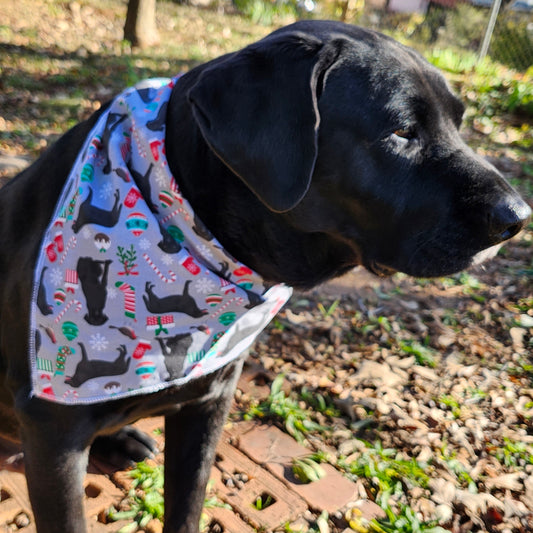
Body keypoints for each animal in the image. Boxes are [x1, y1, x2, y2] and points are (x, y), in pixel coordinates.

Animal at [0, 19, 528, 532]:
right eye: (401, 130)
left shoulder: (209, 402)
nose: (518, 217)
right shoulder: (53, 437)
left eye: (459, 122)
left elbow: (186, 507)